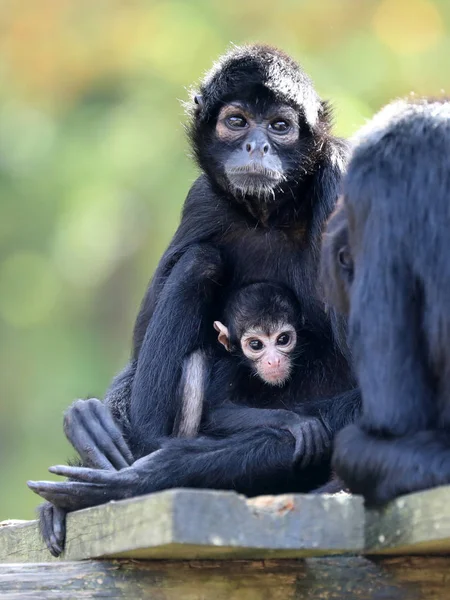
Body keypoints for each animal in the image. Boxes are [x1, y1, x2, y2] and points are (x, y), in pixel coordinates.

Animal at [28, 44, 360, 556]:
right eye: (237, 121)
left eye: (279, 126)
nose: (257, 146)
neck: (272, 214)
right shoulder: (201, 201)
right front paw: (89, 425)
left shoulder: (340, 179)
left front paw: (152, 474)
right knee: (200, 260)